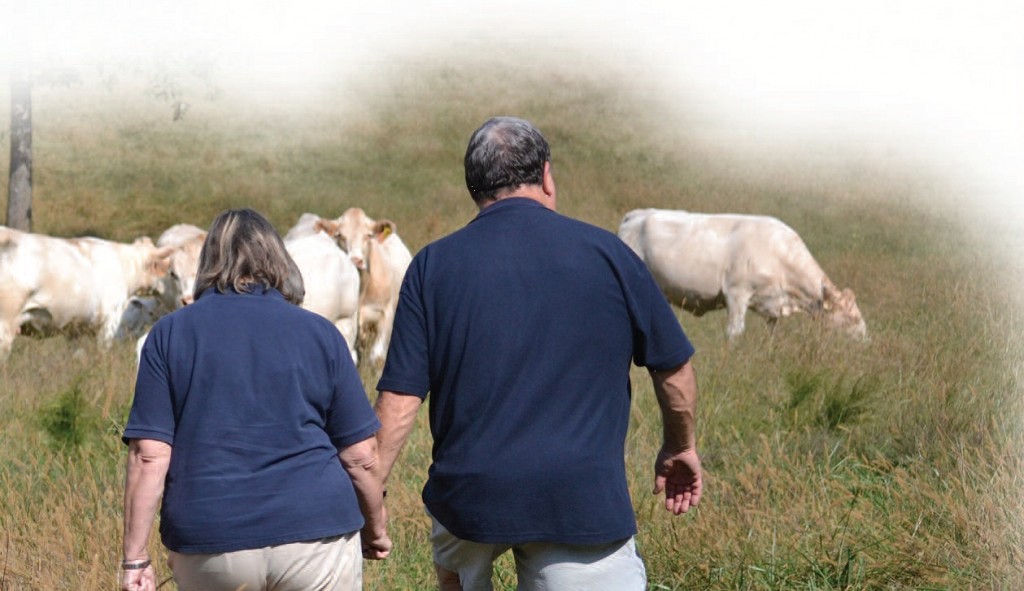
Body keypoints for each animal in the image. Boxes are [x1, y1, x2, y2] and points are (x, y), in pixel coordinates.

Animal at [614, 206, 864, 338]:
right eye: (852, 318)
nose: (866, 339)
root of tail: (638, 214)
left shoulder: (772, 307)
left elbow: (772, 335)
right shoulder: (736, 294)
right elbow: (735, 332)